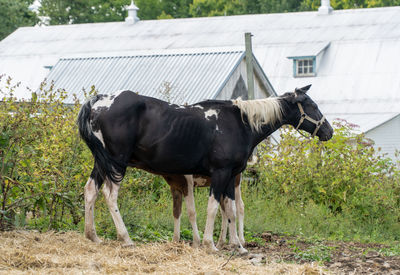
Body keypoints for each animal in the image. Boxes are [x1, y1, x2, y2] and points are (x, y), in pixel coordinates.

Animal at [76, 84, 332, 254]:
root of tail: (99, 101)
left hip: (102, 163)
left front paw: (237, 246)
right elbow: (213, 208)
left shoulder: (230, 177)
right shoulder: (220, 173)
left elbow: (230, 210)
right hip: (116, 163)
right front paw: (210, 245)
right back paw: (126, 238)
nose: (328, 131)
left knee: (90, 191)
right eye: (312, 105)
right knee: (110, 196)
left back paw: (92, 236)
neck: (241, 123)